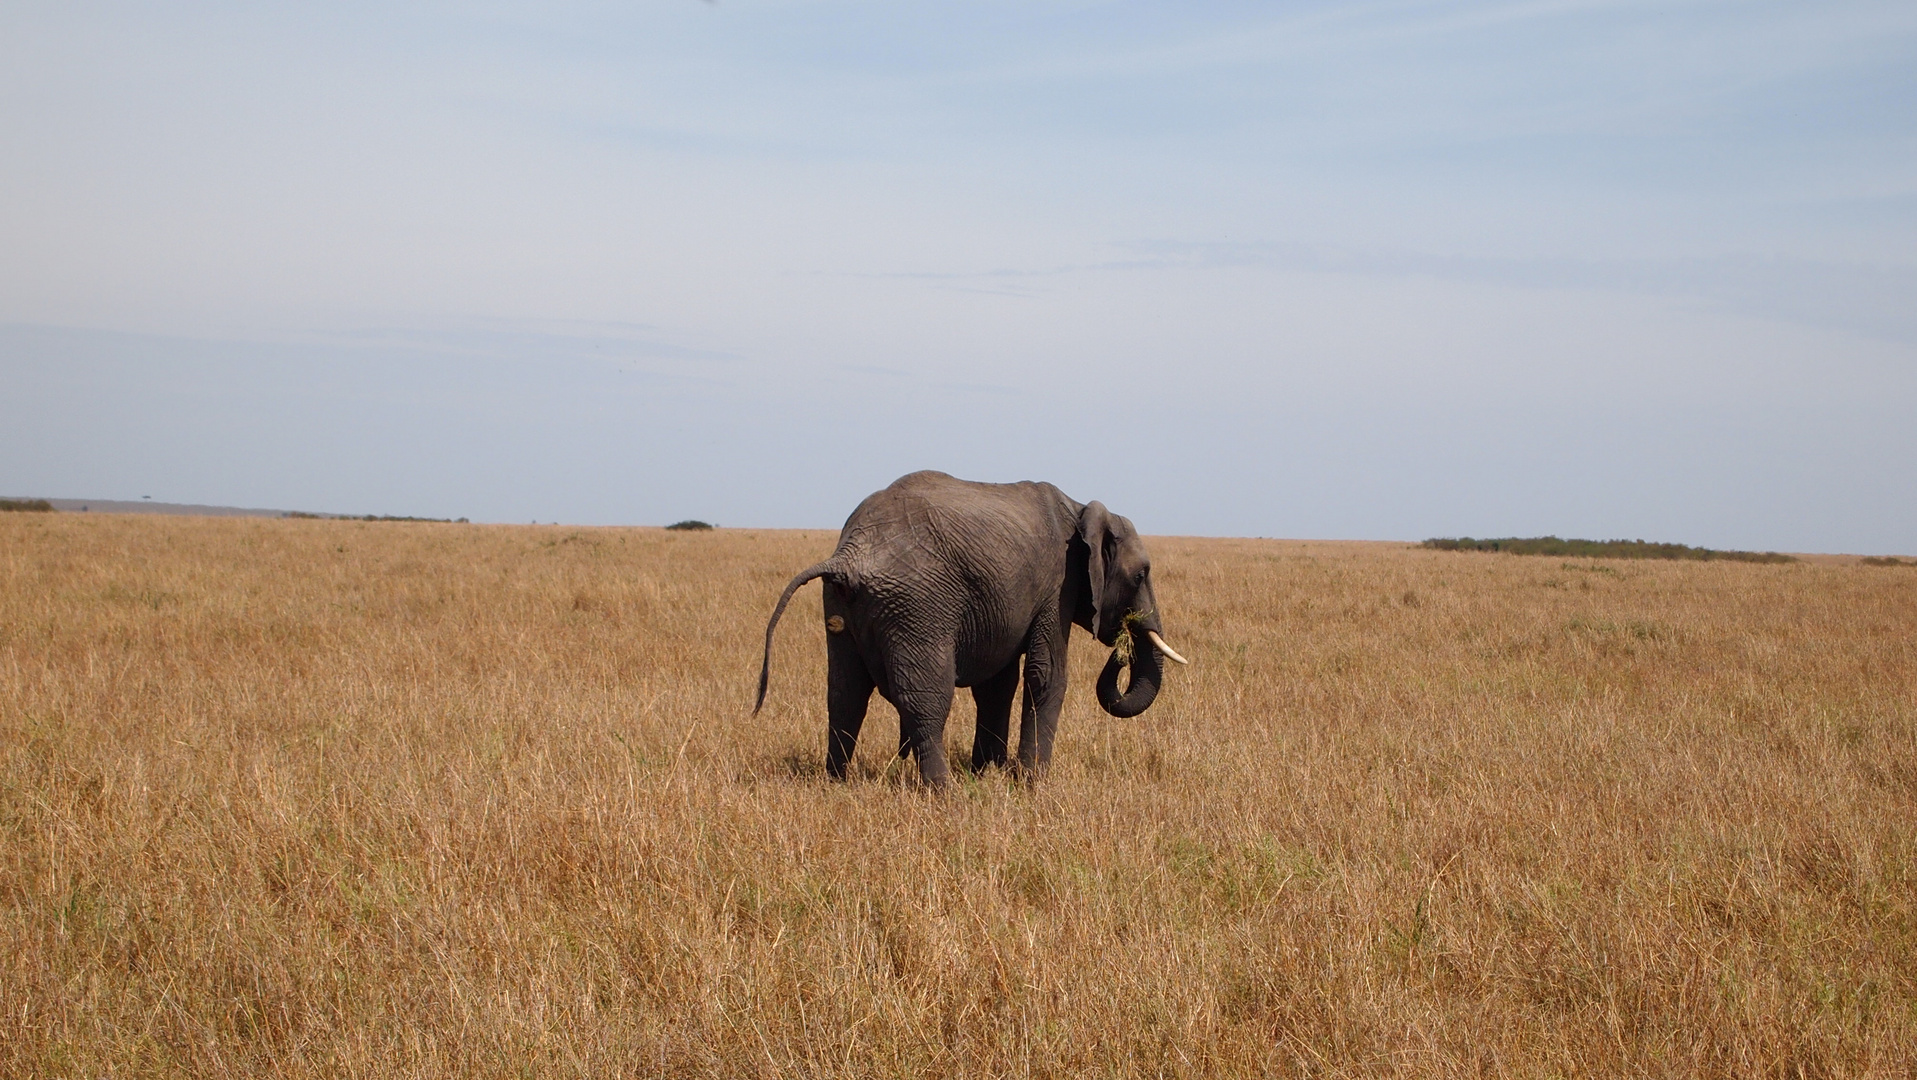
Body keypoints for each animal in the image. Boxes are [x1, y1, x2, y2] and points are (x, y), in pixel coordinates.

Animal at [747, 471, 1180, 786]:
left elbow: (997, 684)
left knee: (845, 693)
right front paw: (1032, 782)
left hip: (841, 603)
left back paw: (836, 782)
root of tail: (848, 558)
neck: (1081, 508)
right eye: (1141, 575)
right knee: (926, 699)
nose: (1124, 645)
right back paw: (942, 790)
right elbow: (1046, 674)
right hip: (918, 607)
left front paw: (989, 771)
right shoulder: (1056, 587)